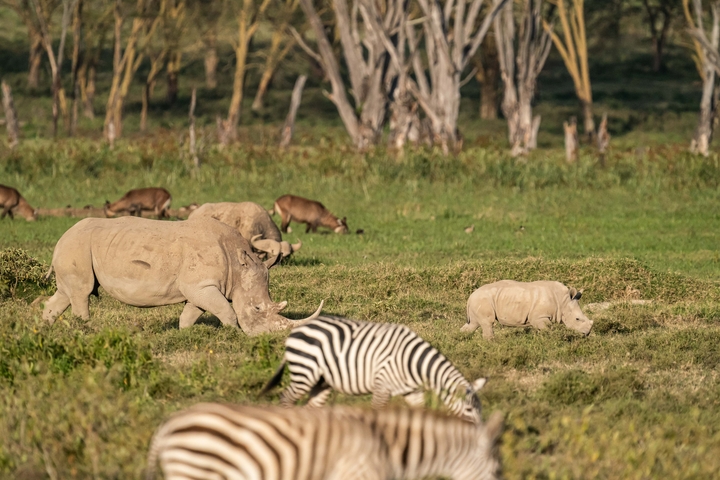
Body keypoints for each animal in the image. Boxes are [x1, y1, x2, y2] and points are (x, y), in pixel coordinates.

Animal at [42, 216, 323, 336]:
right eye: (256, 309)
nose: (266, 336)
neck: (238, 264)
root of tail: (62, 236)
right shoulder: (202, 285)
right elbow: (227, 312)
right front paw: (234, 334)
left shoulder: (200, 288)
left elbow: (191, 314)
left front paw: (184, 335)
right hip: (77, 246)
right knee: (82, 293)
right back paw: (86, 330)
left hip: (75, 247)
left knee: (65, 294)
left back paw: (43, 330)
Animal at [260, 315, 488, 423]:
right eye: (469, 410)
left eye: (480, 409)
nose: (477, 431)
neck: (411, 362)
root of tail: (296, 330)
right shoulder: (382, 386)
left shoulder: (413, 392)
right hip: (304, 373)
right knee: (285, 398)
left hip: (321, 382)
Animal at [462, 280, 593, 339]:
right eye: (577, 319)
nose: (587, 333)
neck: (563, 301)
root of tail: (470, 296)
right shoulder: (539, 317)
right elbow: (547, 328)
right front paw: (551, 339)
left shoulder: (539, 318)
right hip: (483, 300)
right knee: (487, 323)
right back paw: (491, 343)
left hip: (478, 302)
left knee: (473, 323)